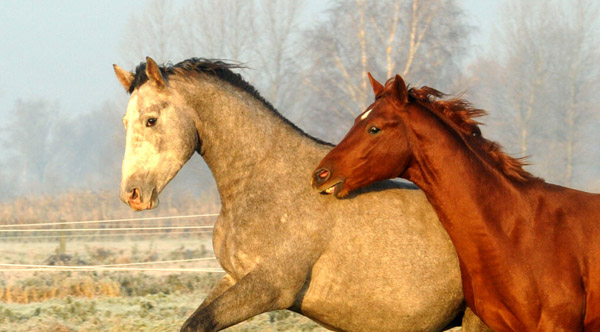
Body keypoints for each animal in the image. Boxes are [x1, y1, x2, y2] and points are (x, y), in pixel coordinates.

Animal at [112, 57, 488, 332]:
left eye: (150, 120)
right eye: (125, 122)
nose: (133, 195)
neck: (266, 179)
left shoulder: (271, 287)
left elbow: (198, 325)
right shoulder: (233, 277)